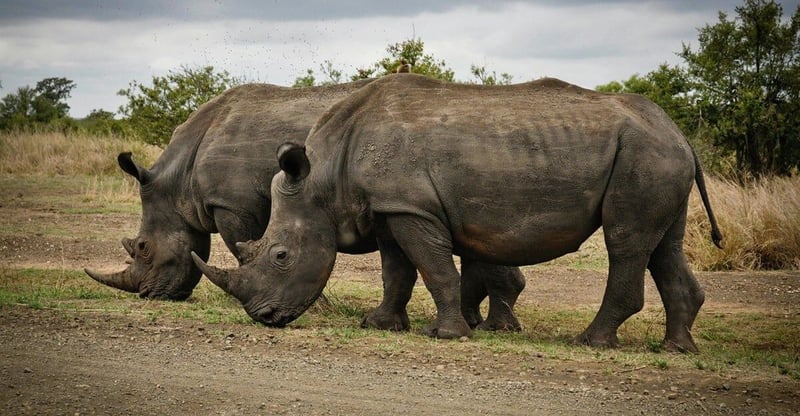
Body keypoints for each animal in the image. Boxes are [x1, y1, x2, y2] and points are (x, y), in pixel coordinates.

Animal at [84, 80, 525, 331]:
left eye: (143, 248)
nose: (147, 294)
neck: (179, 180)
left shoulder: (232, 205)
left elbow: (245, 248)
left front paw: (318, 308)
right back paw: (483, 322)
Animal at [193, 74, 723, 352]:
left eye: (280, 256)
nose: (264, 317)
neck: (324, 177)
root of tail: (680, 134)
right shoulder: (390, 208)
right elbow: (396, 271)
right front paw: (379, 325)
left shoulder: (412, 209)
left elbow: (433, 268)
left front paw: (446, 334)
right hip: (655, 155)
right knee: (663, 244)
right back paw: (677, 348)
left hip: (644, 156)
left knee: (625, 241)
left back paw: (590, 342)